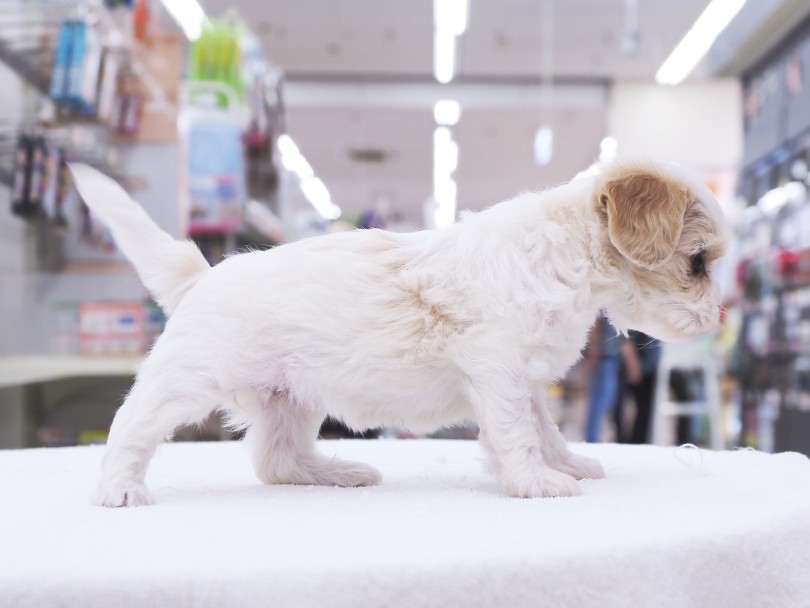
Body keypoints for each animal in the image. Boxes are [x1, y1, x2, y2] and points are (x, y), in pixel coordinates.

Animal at [69, 163, 724, 508]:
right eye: (697, 263)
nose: (719, 319)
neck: (565, 255)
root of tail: (203, 275)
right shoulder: (499, 371)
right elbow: (518, 434)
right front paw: (537, 482)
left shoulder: (526, 378)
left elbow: (544, 428)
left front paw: (565, 464)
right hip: (189, 379)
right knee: (132, 424)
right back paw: (119, 489)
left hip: (290, 398)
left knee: (275, 460)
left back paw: (339, 475)